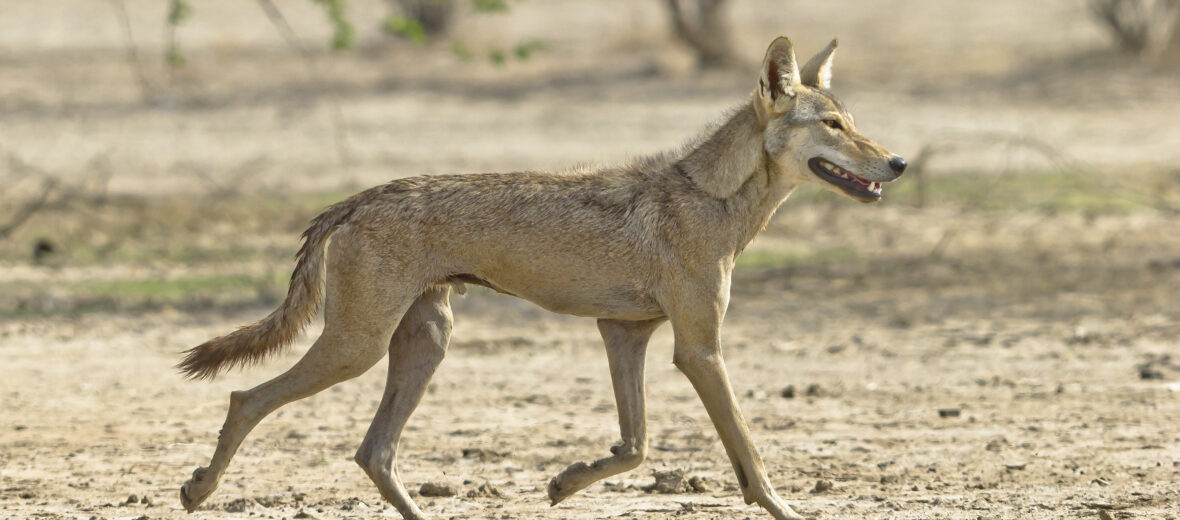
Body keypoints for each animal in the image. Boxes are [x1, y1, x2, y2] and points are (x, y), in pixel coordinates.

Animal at [174, 37, 906, 518]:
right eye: (833, 125)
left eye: (853, 122)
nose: (897, 162)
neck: (713, 197)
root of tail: (361, 196)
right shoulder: (698, 349)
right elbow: (748, 454)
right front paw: (786, 507)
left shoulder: (625, 333)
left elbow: (635, 446)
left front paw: (563, 482)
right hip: (358, 347)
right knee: (248, 399)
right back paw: (198, 490)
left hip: (423, 343)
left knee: (372, 452)